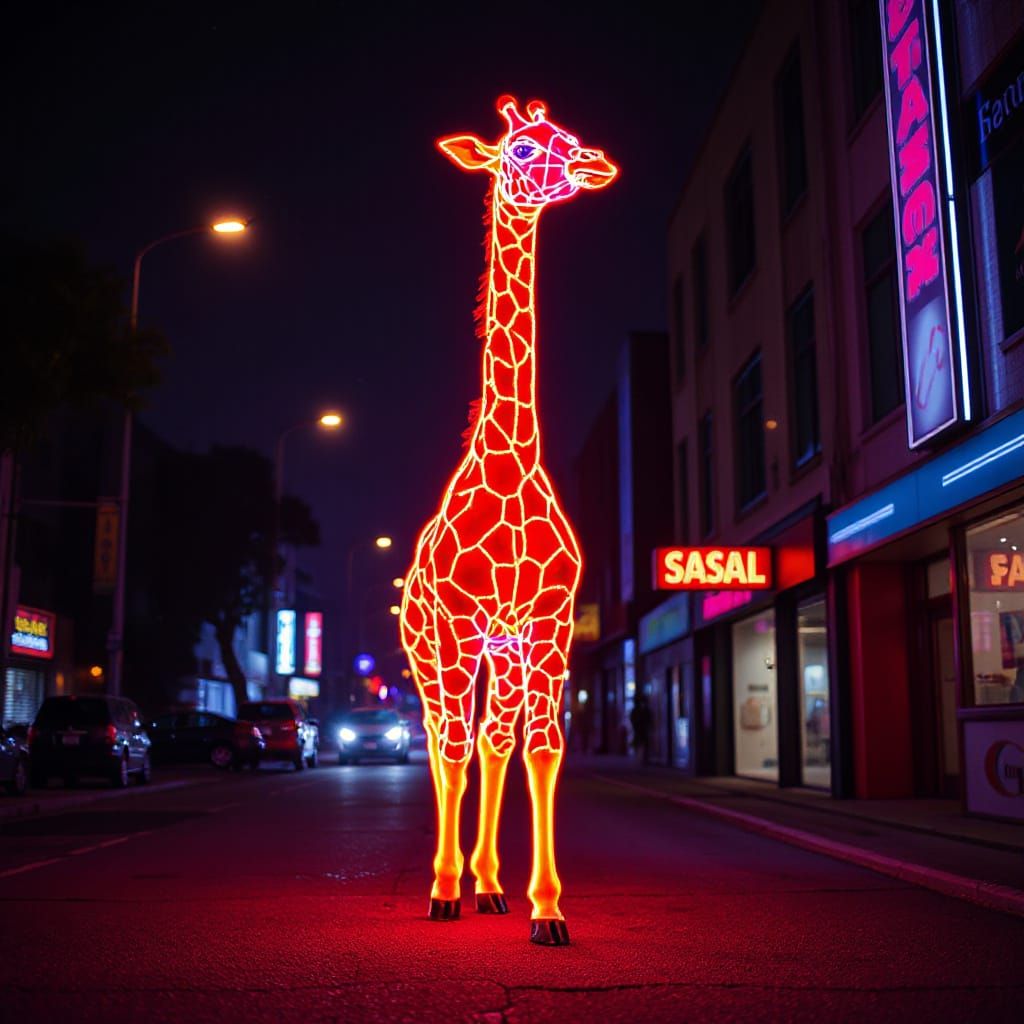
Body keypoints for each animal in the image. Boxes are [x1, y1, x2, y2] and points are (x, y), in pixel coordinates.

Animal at [399, 95, 617, 946]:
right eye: (522, 147)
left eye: (569, 134)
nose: (596, 163)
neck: (515, 462)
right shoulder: (463, 621)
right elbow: (454, 751)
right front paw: (442, 891)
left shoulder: (548, 622)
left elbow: (542, 747)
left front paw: (547, 909)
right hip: (431, 647)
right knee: (440, 742)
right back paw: (450, 884)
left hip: (502, 646)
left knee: (490, 741)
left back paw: (489, 886)